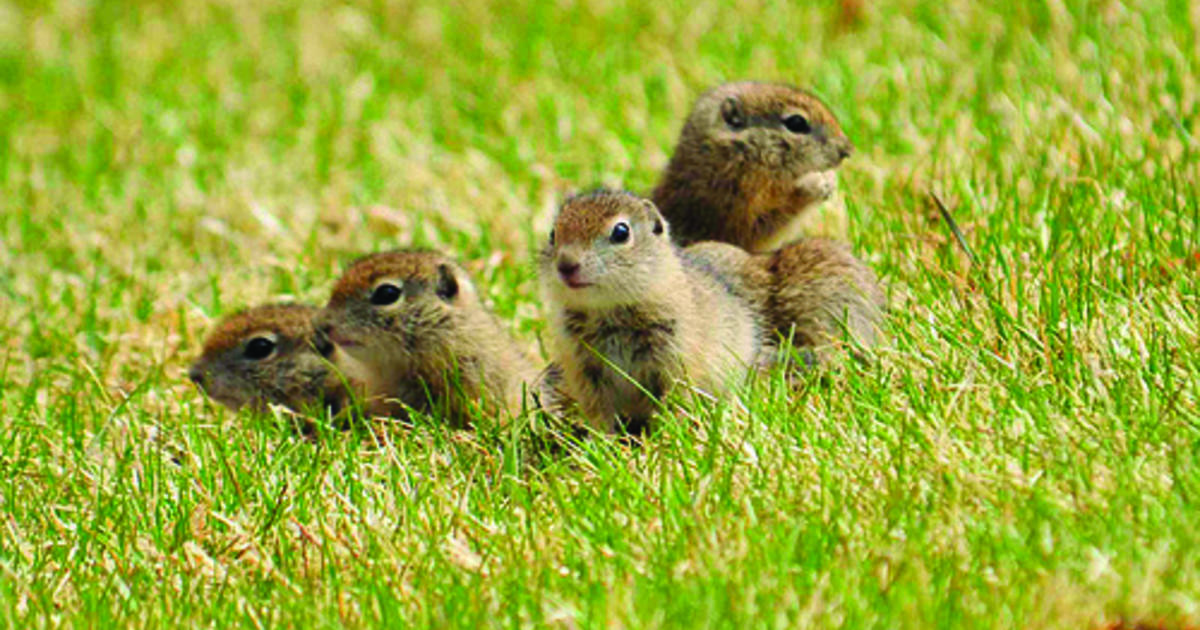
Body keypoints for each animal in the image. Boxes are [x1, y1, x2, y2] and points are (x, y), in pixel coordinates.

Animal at [540, 187, 763, 432]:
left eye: (621, 232)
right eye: (553, 234)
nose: (565, 265)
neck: (609, 309)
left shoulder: (674, 362)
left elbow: (673, 402)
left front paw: (666, 434)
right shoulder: (585, 370)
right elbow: (598, 412)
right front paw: (601, 438)